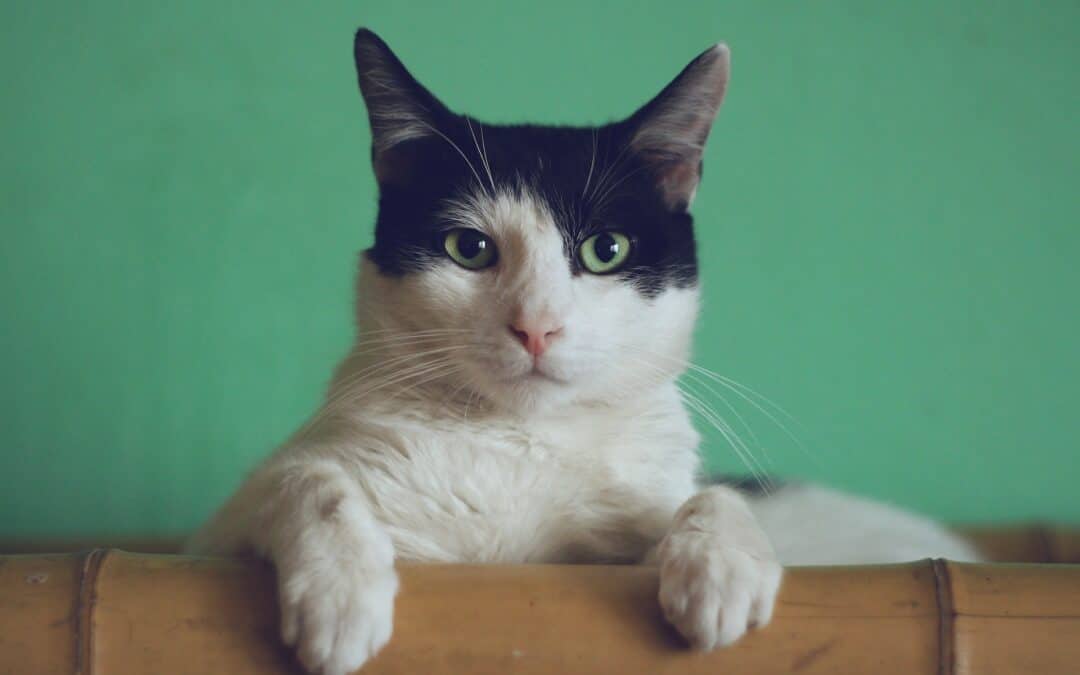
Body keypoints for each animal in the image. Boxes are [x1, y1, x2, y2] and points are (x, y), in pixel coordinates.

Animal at [187, 28, 980, 673]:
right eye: (468, 248)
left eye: (606, 250)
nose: (536, 325)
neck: (518, 445)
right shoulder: (214, 537)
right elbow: (307, 480)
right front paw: (341, 596)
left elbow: (707, 496)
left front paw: (720, 568)